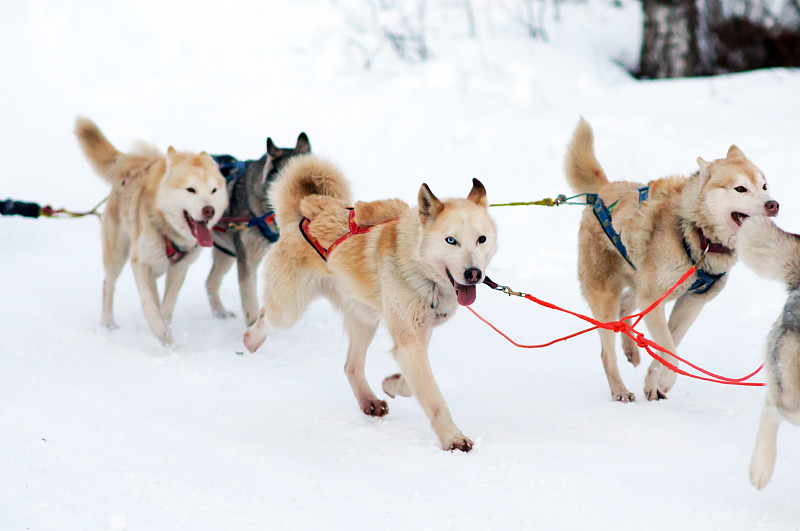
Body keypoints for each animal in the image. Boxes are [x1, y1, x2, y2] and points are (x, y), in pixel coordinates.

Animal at [75, 118, 227, 348]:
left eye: (213, 191)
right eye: (191, 190)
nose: (209, 210)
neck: (166, 228)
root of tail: (135, 161)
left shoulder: (179, 268)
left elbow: (167, 307)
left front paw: (166, 336)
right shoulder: (140, 263)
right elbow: (149, 304)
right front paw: (159, 331)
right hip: (117, 253)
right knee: (108, 284)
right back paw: (108, 322)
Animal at [241, 156, 496, 450]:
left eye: (481, 239)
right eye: (451, 240)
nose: (473, 274)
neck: (418, 266)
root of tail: (302, 214)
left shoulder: (418, 335)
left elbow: (411, 383)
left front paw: (392, 383)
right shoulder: (409, 341)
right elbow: (433, 396)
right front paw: (453, 437)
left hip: (365, 320)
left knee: (351, 366)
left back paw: (369, 400)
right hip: (289, 309)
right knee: (266, 316)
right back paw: (251, 340)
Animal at [564, 119, 780, 404]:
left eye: (764, 186)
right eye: (740, 188)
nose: (773, 204)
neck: (698, 235)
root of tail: (603, 192)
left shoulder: (692, 301)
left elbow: (670, 346)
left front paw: (653, 382)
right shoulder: (654, 299)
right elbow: (670, 351)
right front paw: (664, 380)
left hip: (643, 284)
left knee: (626, 305)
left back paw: (631, 349)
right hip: (607, 294)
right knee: (606, 349)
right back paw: (619, 389)